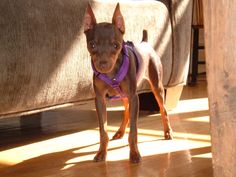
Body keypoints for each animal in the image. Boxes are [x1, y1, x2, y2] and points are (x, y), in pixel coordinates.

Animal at [84, 3, 172, 163]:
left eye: (116, 45)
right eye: (92, 45)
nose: (103, 65)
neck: (111, 74)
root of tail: (145, 42)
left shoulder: (134, 97)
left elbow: (134, 130)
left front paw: (134, 153)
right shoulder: (100, 100)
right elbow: (103, 130)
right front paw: (102, 152)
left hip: (156, 87)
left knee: (163, 109)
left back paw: (167, 131)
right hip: (123, 95)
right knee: (126, 111)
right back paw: (120, 131)